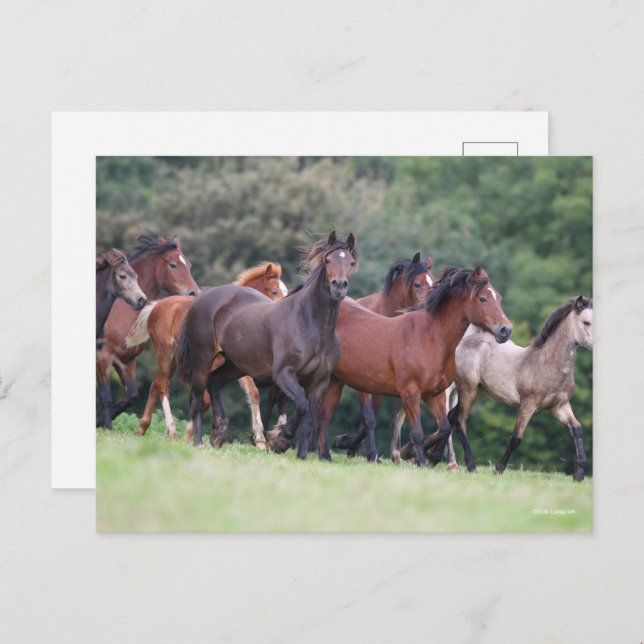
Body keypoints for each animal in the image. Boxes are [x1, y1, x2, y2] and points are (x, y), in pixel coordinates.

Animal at [96, 234, 200, 429]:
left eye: (189, 265)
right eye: (173, 264)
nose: (194, 293)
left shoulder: (127, 361)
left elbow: (131, 397)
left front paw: (99, 420)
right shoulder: (103, 359)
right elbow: (106, 397)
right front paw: (104, 424)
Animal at [124, 262, 288, 443]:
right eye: (274, 291)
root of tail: (157, 306)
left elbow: (250, 393)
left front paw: (258, 439)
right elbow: (210, 396)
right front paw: (195, 434)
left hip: (173, 359)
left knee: (156, 381)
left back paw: (142, 428)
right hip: (165, 352)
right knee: (163, 385)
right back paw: (172, 431)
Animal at [177, 231, 357, 456]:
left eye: (351, 262)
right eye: (328, 260)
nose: (339, 286)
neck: (310, 325)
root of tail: (204, 296)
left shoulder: (319, 381)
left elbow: (308, 419)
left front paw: (300, 455)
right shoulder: (283, 375)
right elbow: (302, 406)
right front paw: (280, 439)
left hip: (235, 365)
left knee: (214, 382)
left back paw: (219, 432)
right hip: (203, 358)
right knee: (198, 398)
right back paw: (199, 442)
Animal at [309, 267, 512, 466]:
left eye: (499, 298)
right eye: (483, 298)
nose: (506, 330)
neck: (430, 337)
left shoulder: (435, 395)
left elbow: (444, 429)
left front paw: (411, 453)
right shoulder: (410, 393)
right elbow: (417, 433)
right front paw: (418, 460)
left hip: (335, 381)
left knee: (323, 416)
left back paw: (325, 456)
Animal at [446, 295, 593, 482]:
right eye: (586, 322)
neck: (546, 364)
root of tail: (464, 341)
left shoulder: (559, 406)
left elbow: (577, 429)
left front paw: (578, 475)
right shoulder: (528, 405)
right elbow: (516, 438)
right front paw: (498, 469)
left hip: (480, 392)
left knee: (452, 415)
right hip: (467, 389)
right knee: (460, 419)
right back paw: (470, 465)